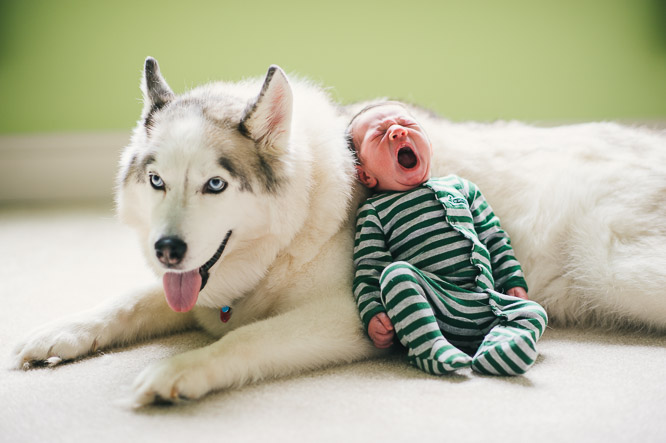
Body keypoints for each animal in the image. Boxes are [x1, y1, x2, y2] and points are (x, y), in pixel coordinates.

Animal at [10, 56, 664, 406]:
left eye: (215, 185)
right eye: (156, 181)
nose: (167, 250)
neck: (294, 232)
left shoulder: (347, 316)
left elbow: (245, 340)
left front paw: (181, 371)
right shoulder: (195, 291)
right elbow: (125, 301)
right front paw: (59, 333)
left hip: (616, 271)